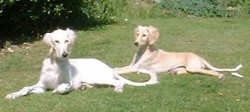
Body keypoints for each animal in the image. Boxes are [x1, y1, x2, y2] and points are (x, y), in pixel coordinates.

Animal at [5, 28, 146, 99]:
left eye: (67, 41)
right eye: (56, 41)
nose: (65, 54)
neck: (56, 64)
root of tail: (108, 67)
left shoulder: (69, 82)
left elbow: (61, 87)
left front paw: (58, 90)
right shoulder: (42, 86)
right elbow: (26, 88)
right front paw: (13, 94)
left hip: (97, 77)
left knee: (119, 82)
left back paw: (118, 88)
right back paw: (84, 86)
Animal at [114, 25, 243, 84]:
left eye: (144, 35)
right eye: (137, 34)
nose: (135, 43)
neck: (144, 50)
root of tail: (198, 56)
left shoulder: (135, 68)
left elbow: (118, 70)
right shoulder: (132, 65)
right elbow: (117, 68)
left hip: (193, 66)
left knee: (208, 71)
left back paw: (219, 75)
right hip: (186, 68)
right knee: (188, 72)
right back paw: (175, 72)